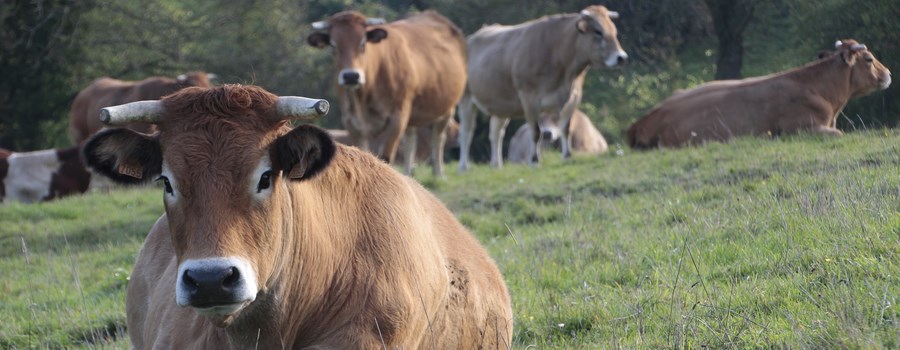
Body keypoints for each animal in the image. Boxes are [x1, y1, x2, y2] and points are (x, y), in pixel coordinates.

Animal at [308, 11, 468, 178]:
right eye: (333, 46)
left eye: (363, 44)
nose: (351, 76)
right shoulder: (351, 122)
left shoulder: (397, 118)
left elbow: (385, 157)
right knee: (411, 140)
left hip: (447, 107)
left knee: (438, 138)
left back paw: (439, 173)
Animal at [458, 4, 624, 170]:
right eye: (598, 31)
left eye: (614, 30)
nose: (621, 57)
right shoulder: (529, 98)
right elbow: (536, 132)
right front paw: (534, 160)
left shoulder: (573, 98)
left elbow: (566, 129)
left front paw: (567, 156)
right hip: (466, 98)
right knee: (467, 132)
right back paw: (464, 166)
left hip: (501, 104)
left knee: (496, 133)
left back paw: (497, 165)